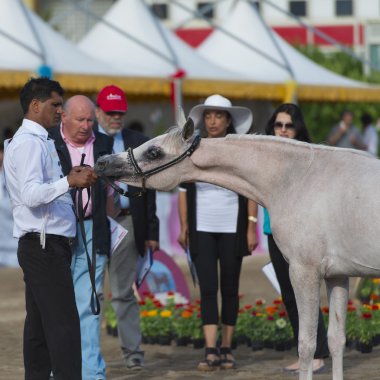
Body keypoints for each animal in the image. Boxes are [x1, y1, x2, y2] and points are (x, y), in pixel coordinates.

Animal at [94, 117, 380, 378]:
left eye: (154, 152)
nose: (102, 162)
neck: (299, 178)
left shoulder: (304, 272)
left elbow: (307, 344)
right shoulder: (337, 276)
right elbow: (336, 340)